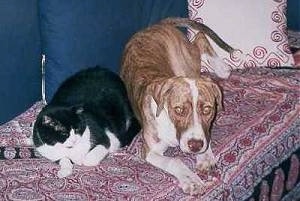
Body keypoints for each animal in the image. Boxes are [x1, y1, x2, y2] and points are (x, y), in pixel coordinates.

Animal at [119, 17, 234, 195]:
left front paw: (205, 156)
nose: (195, 146)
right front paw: (191, 180)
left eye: (207, 109)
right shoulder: (150, 152)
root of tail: (156, 25)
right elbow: (175, 161)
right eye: (178, 110)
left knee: (200, 38)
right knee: (199, 39)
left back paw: (221, 68)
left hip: (185, 62)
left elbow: (206, 136)